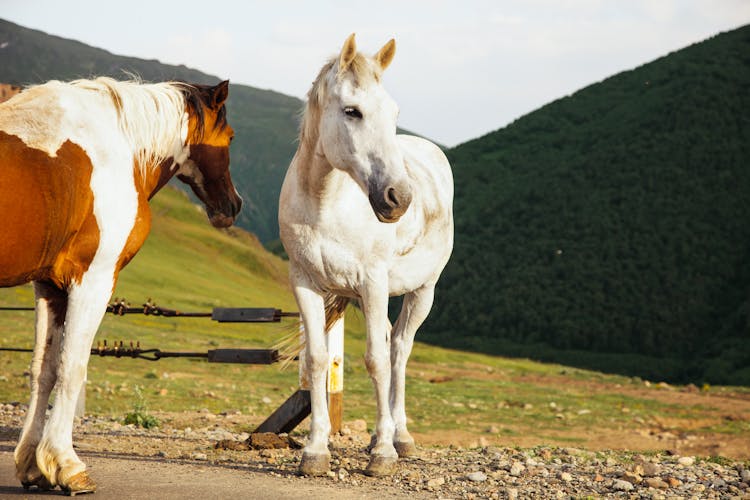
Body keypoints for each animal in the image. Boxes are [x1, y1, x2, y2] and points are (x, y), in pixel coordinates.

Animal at [0, 77, 241, 492]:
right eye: (228, 137)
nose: (234, 205)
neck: (117, 145)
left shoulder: (49, 287)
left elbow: (43, 369)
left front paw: (32, 464)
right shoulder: (92, 279)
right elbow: (72, 366)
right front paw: (67, 465)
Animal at [280, 35, 452, 476]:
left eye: (394, 113)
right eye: (352, 111)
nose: (399, 197)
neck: (325, 203)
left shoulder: (372, 282)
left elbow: (376, 361)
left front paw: (383, 455)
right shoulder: (304, 283)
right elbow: (316, 360)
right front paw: (315, 450)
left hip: (422, 292)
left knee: (399, 351)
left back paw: (399, 436)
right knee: (392, 344)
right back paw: (381, 433)